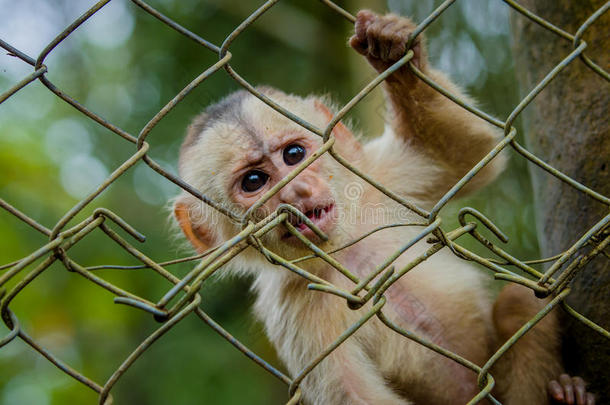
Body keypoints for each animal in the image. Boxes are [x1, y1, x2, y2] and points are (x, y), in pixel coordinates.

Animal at [173, 9, 592, 404]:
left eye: (294, 154)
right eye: (254, 182)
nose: (297, 190)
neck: (346, 252)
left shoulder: (377, 180)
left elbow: (468, 155)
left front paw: (393, 51)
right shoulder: (295, 307)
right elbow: (354, 395)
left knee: (519, 301)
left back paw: (568, 393)